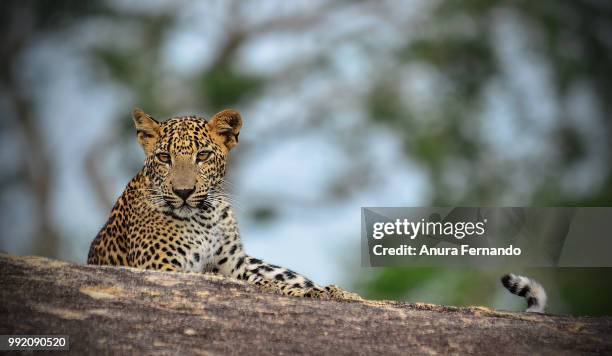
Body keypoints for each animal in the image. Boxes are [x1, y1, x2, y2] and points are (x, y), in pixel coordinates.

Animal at [88, 108, 360, 300]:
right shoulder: (161, 267)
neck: (204, 217)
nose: (183, 192)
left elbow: (257, 280)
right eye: (164, 157)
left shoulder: (234, 266)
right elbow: (259, 283)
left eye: (203, 155)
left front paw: (327, 292)